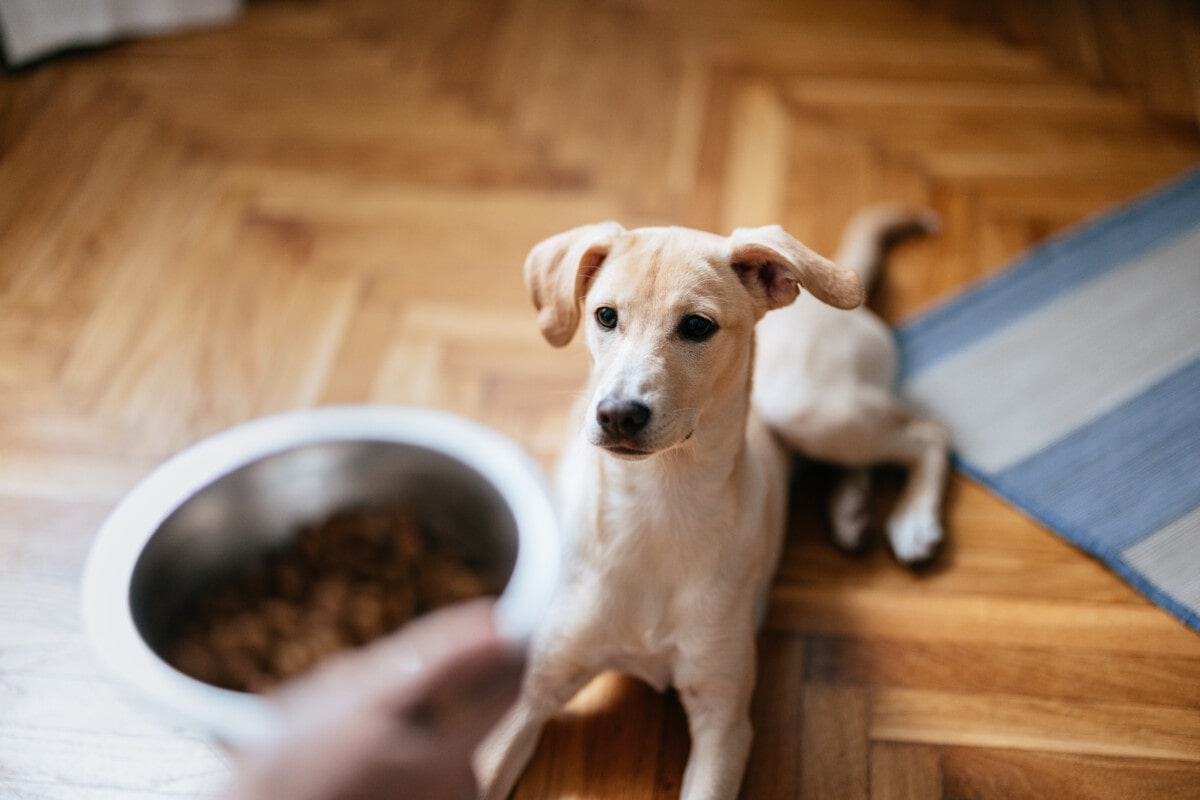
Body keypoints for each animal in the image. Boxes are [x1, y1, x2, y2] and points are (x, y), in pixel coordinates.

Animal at [472, 208, 950, 800]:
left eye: (697, 326)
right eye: (605, 316)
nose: (617, 414)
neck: (659, 504)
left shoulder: (724, 718)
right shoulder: (531, 691)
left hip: (808, 408)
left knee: (927, 435)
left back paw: (912, 521)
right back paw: (852, 512)